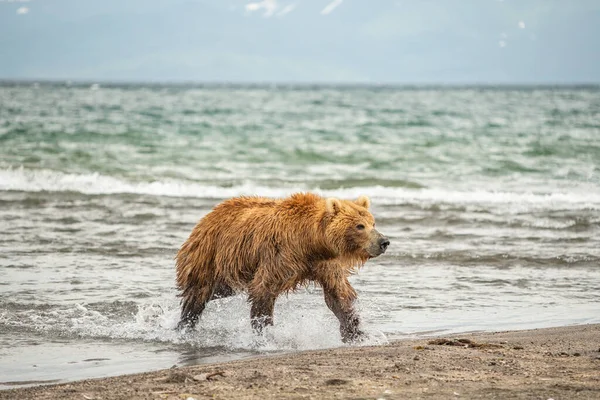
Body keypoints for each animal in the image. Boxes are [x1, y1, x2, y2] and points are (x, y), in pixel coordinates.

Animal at [175, 192, 390, 342]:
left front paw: (356, 333)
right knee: (198, 293)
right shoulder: (280, 256)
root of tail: (208, 216)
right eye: (359, 226)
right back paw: (184, 325)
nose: (384, 242)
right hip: (209, 255)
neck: (311, 243)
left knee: (217, 291)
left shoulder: (325, 264)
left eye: (373, 223)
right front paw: (265, 333)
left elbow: (338, 295)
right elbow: (264, 291)